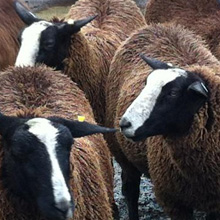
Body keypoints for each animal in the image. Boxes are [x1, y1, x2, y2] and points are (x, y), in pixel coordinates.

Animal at [104, 23, 220, 219]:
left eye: (173, 93)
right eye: (146, 83)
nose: (125, 123)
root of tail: (155, 27)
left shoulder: (214, 203)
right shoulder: (174, 202)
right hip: (122, 154)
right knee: (130, 190)